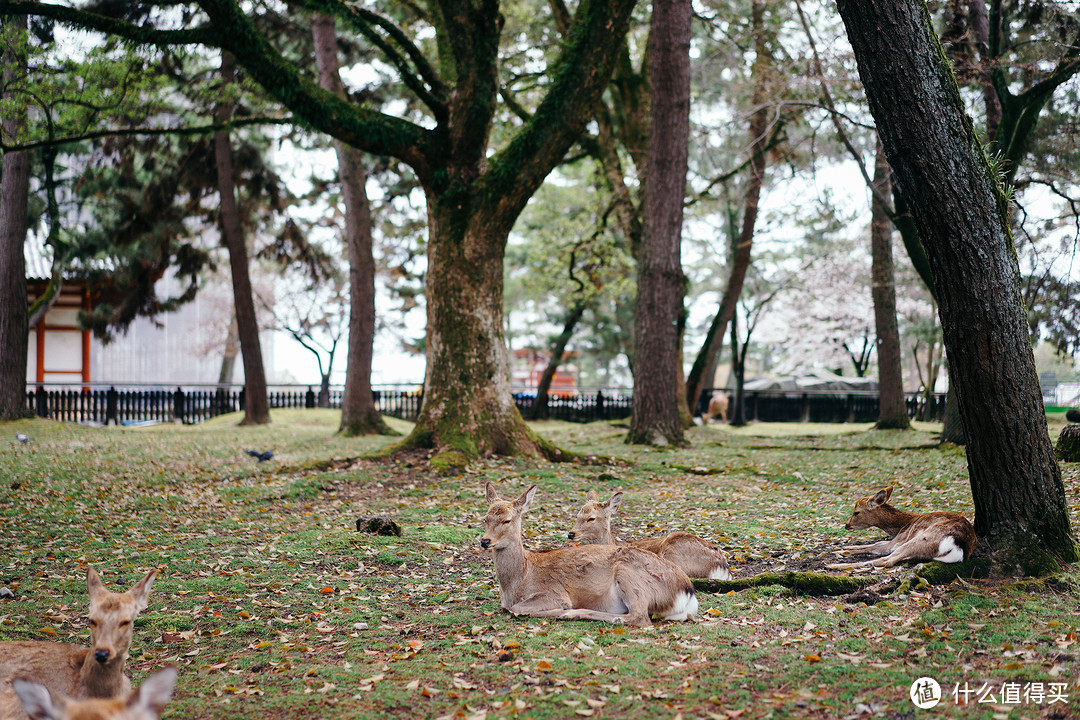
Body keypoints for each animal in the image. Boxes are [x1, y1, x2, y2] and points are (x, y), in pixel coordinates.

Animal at [481, 481, 699, 626]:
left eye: (507, 520)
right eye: (485, 518)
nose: (484, 541)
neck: (521, 578)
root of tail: (687, 591)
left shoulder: (553, 592)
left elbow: (516, 609)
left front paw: (563, 609)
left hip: (629, 575)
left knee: (639, 617)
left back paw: (571, 613)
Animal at [825, 487, 980, 569]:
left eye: (856, 512)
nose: (846, 525)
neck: (901, 526)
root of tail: (960, 546)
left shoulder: (899, 540)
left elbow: (876, 547)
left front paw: (841, 551)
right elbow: (876, 543)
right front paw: (844, 548)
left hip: (921, 539)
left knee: (887, 560)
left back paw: (833, 566)